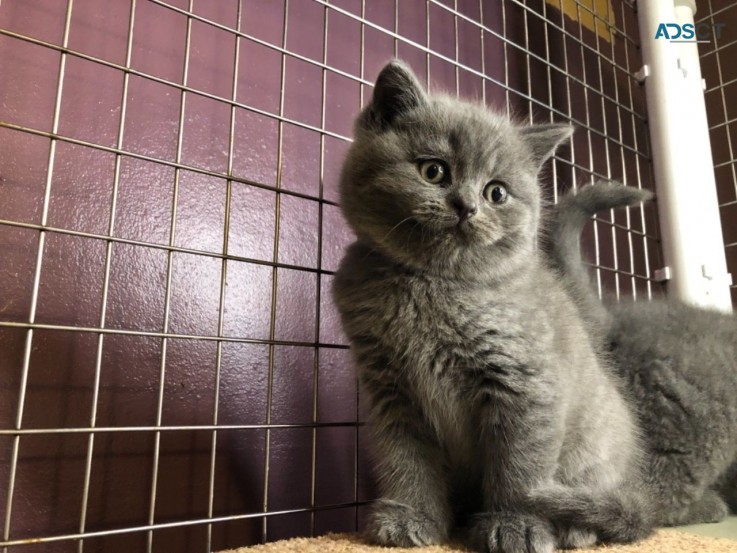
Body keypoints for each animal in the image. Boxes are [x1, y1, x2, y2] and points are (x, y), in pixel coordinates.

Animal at [334, 61, 648, 552]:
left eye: (496, 193)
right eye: (433, 171)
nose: (466, 206)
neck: (432, 282)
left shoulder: (525, 382)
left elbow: (519, 466)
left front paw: (516, 523)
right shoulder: (390, 388)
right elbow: (404, 456)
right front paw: (410, 516)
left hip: (594, 445)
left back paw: (576, 527)